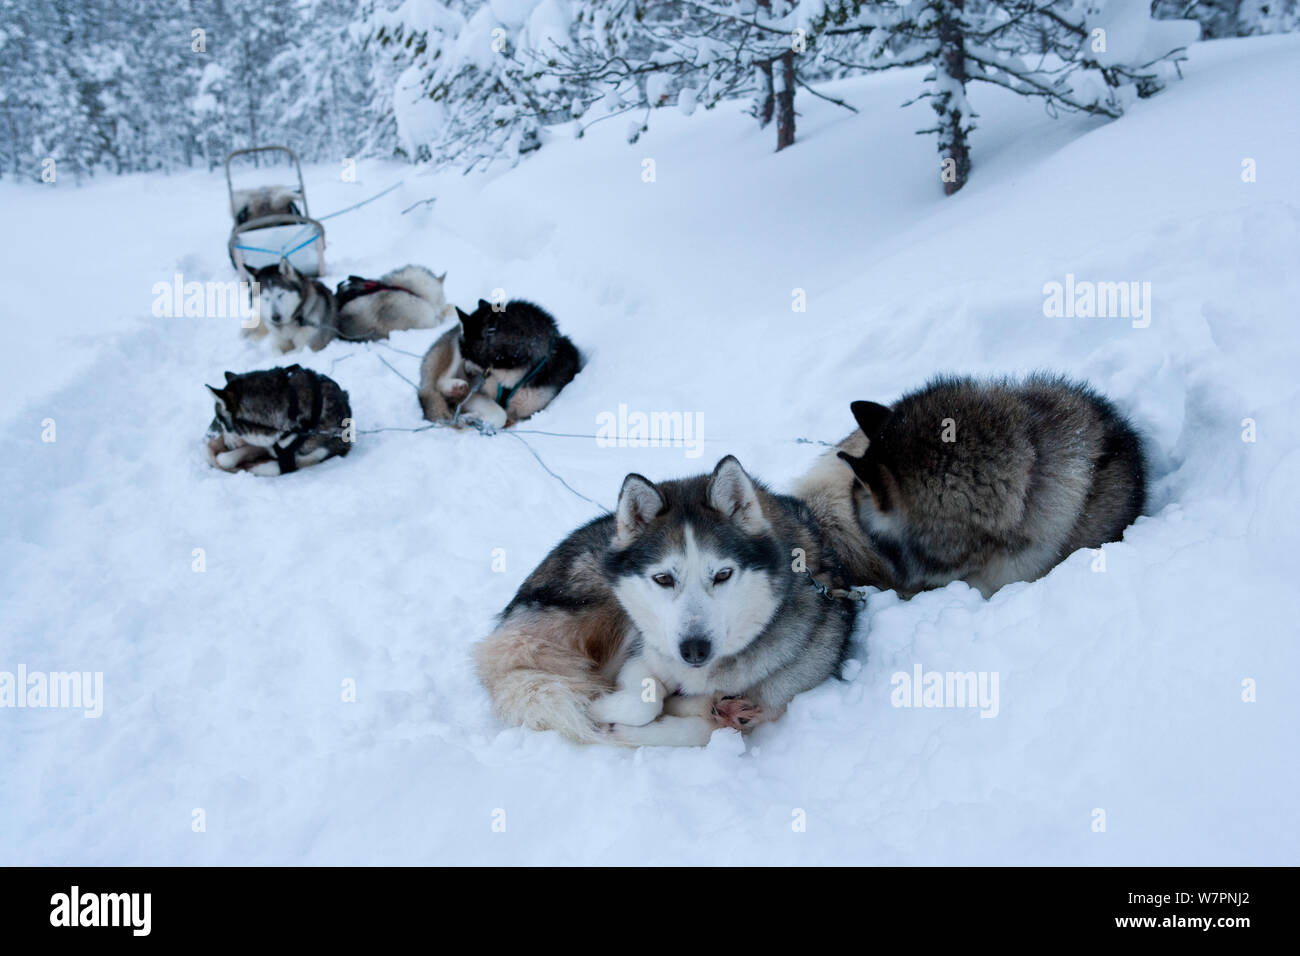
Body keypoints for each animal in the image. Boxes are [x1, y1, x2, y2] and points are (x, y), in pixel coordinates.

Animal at [473, 455, 857, 749]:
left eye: (722, 575)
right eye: (663, 579)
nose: (694, 650)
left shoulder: (775, 701)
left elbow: (704, 729)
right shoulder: (643, 656)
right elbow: (646, 699)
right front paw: (598, 708)